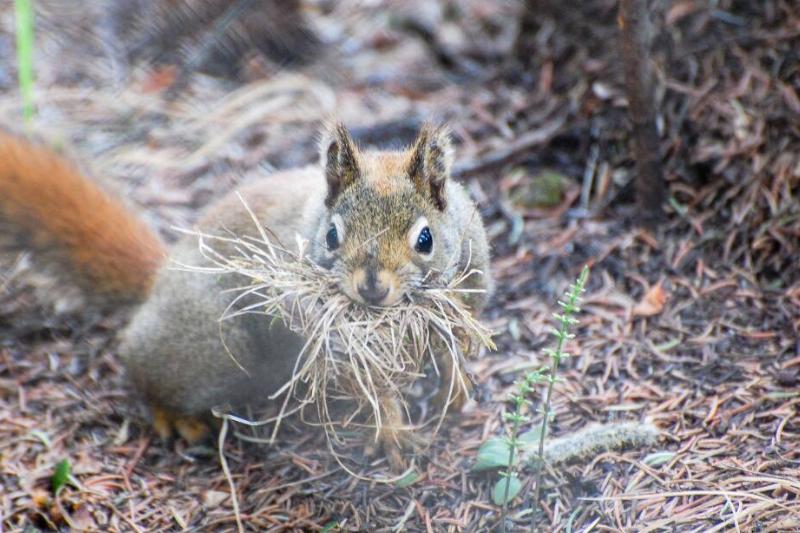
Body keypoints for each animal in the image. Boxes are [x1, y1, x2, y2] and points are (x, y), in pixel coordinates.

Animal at [0, 122, 493, 472]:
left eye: (425, 239)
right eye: (331, 236)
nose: (372, 286)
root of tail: (163, 275)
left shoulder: (469, 294)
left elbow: (451, 348)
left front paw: (456, 387)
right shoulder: (328, 340)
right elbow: (371, 389)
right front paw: (393, 432)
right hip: (212, 347)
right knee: (141, 365)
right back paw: (175, 416)